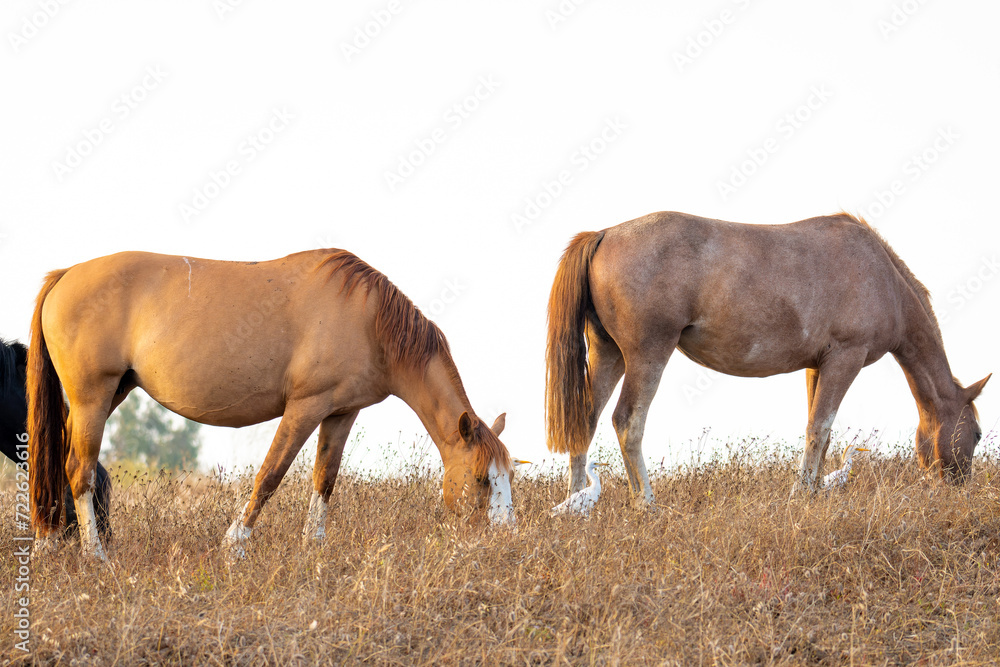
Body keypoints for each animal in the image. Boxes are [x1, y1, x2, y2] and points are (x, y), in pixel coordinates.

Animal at [29, 249, 514, 561]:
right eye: (480, 480)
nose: (504, 538)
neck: (369, 320)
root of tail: (65, 275)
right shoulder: (305, 407)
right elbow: (270, 475)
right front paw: (235, 544)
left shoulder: (341, 413)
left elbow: (324, 479)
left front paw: (313, 548)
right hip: (93, 398)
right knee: (79, 470)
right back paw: (94, 556)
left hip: (111, 395)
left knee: (59, 462)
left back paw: (49, 540)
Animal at [545, 211, 989, 506]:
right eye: (977, 434)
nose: (959, 487)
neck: (882, 278)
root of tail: (603, 234)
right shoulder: (846, 358)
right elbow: (820, 426)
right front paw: (801, 492)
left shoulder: (817, 365)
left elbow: (820, 430)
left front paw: (813, 488)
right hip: (647, 354)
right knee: (628, 421)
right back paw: (646, 502)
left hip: (608, 354)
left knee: (585, 420)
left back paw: (577, 500)